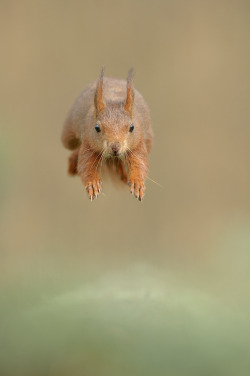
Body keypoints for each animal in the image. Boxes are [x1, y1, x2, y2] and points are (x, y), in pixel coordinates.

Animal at [61, 68, 153, 201]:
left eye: (132, 127)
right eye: (97, 128)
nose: (115, 148)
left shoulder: (138, 143)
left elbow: (140, 163)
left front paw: (137, 184)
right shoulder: (88, 142)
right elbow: (86, 166)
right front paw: (92, 185)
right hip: (68, 137)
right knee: (74, 148)